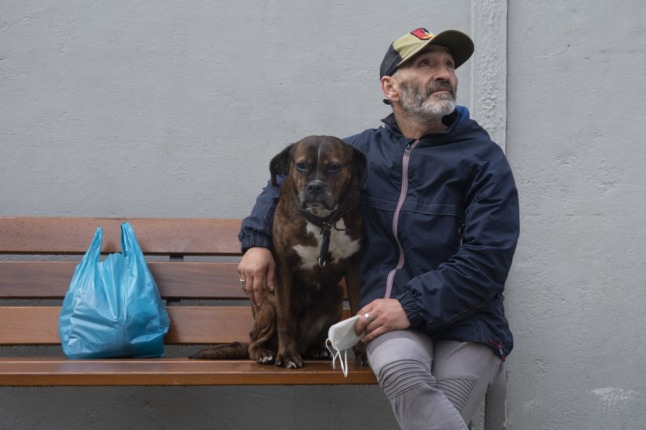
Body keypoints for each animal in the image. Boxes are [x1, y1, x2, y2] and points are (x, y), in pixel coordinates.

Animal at [190, 136, 368, 368]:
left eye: (334, 167)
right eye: (301, 165)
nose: (315, 186)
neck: (322, 222)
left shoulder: (353, 268)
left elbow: (358, 311)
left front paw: (362, 353)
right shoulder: (283, 269)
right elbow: (285, 319)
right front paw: (287, 355)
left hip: (335, 296)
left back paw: (316, 350)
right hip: (268, 304)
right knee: (253, 341)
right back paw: (265, 353)